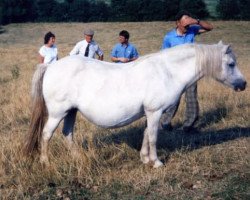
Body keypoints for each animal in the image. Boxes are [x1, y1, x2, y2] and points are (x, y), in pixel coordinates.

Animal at [24, 41, 246, 168]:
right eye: (231, 64)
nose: (243, 84)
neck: (167, 71)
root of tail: (51, 67)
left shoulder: (150, 113)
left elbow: (146, 135)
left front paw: (145, 159)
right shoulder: (155, 112)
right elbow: (154, 137)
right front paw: (156, 163)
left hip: (71, 112)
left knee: (68, 134)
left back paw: (79, 158)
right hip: (57, 113)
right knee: (46, 134)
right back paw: (45, 162)